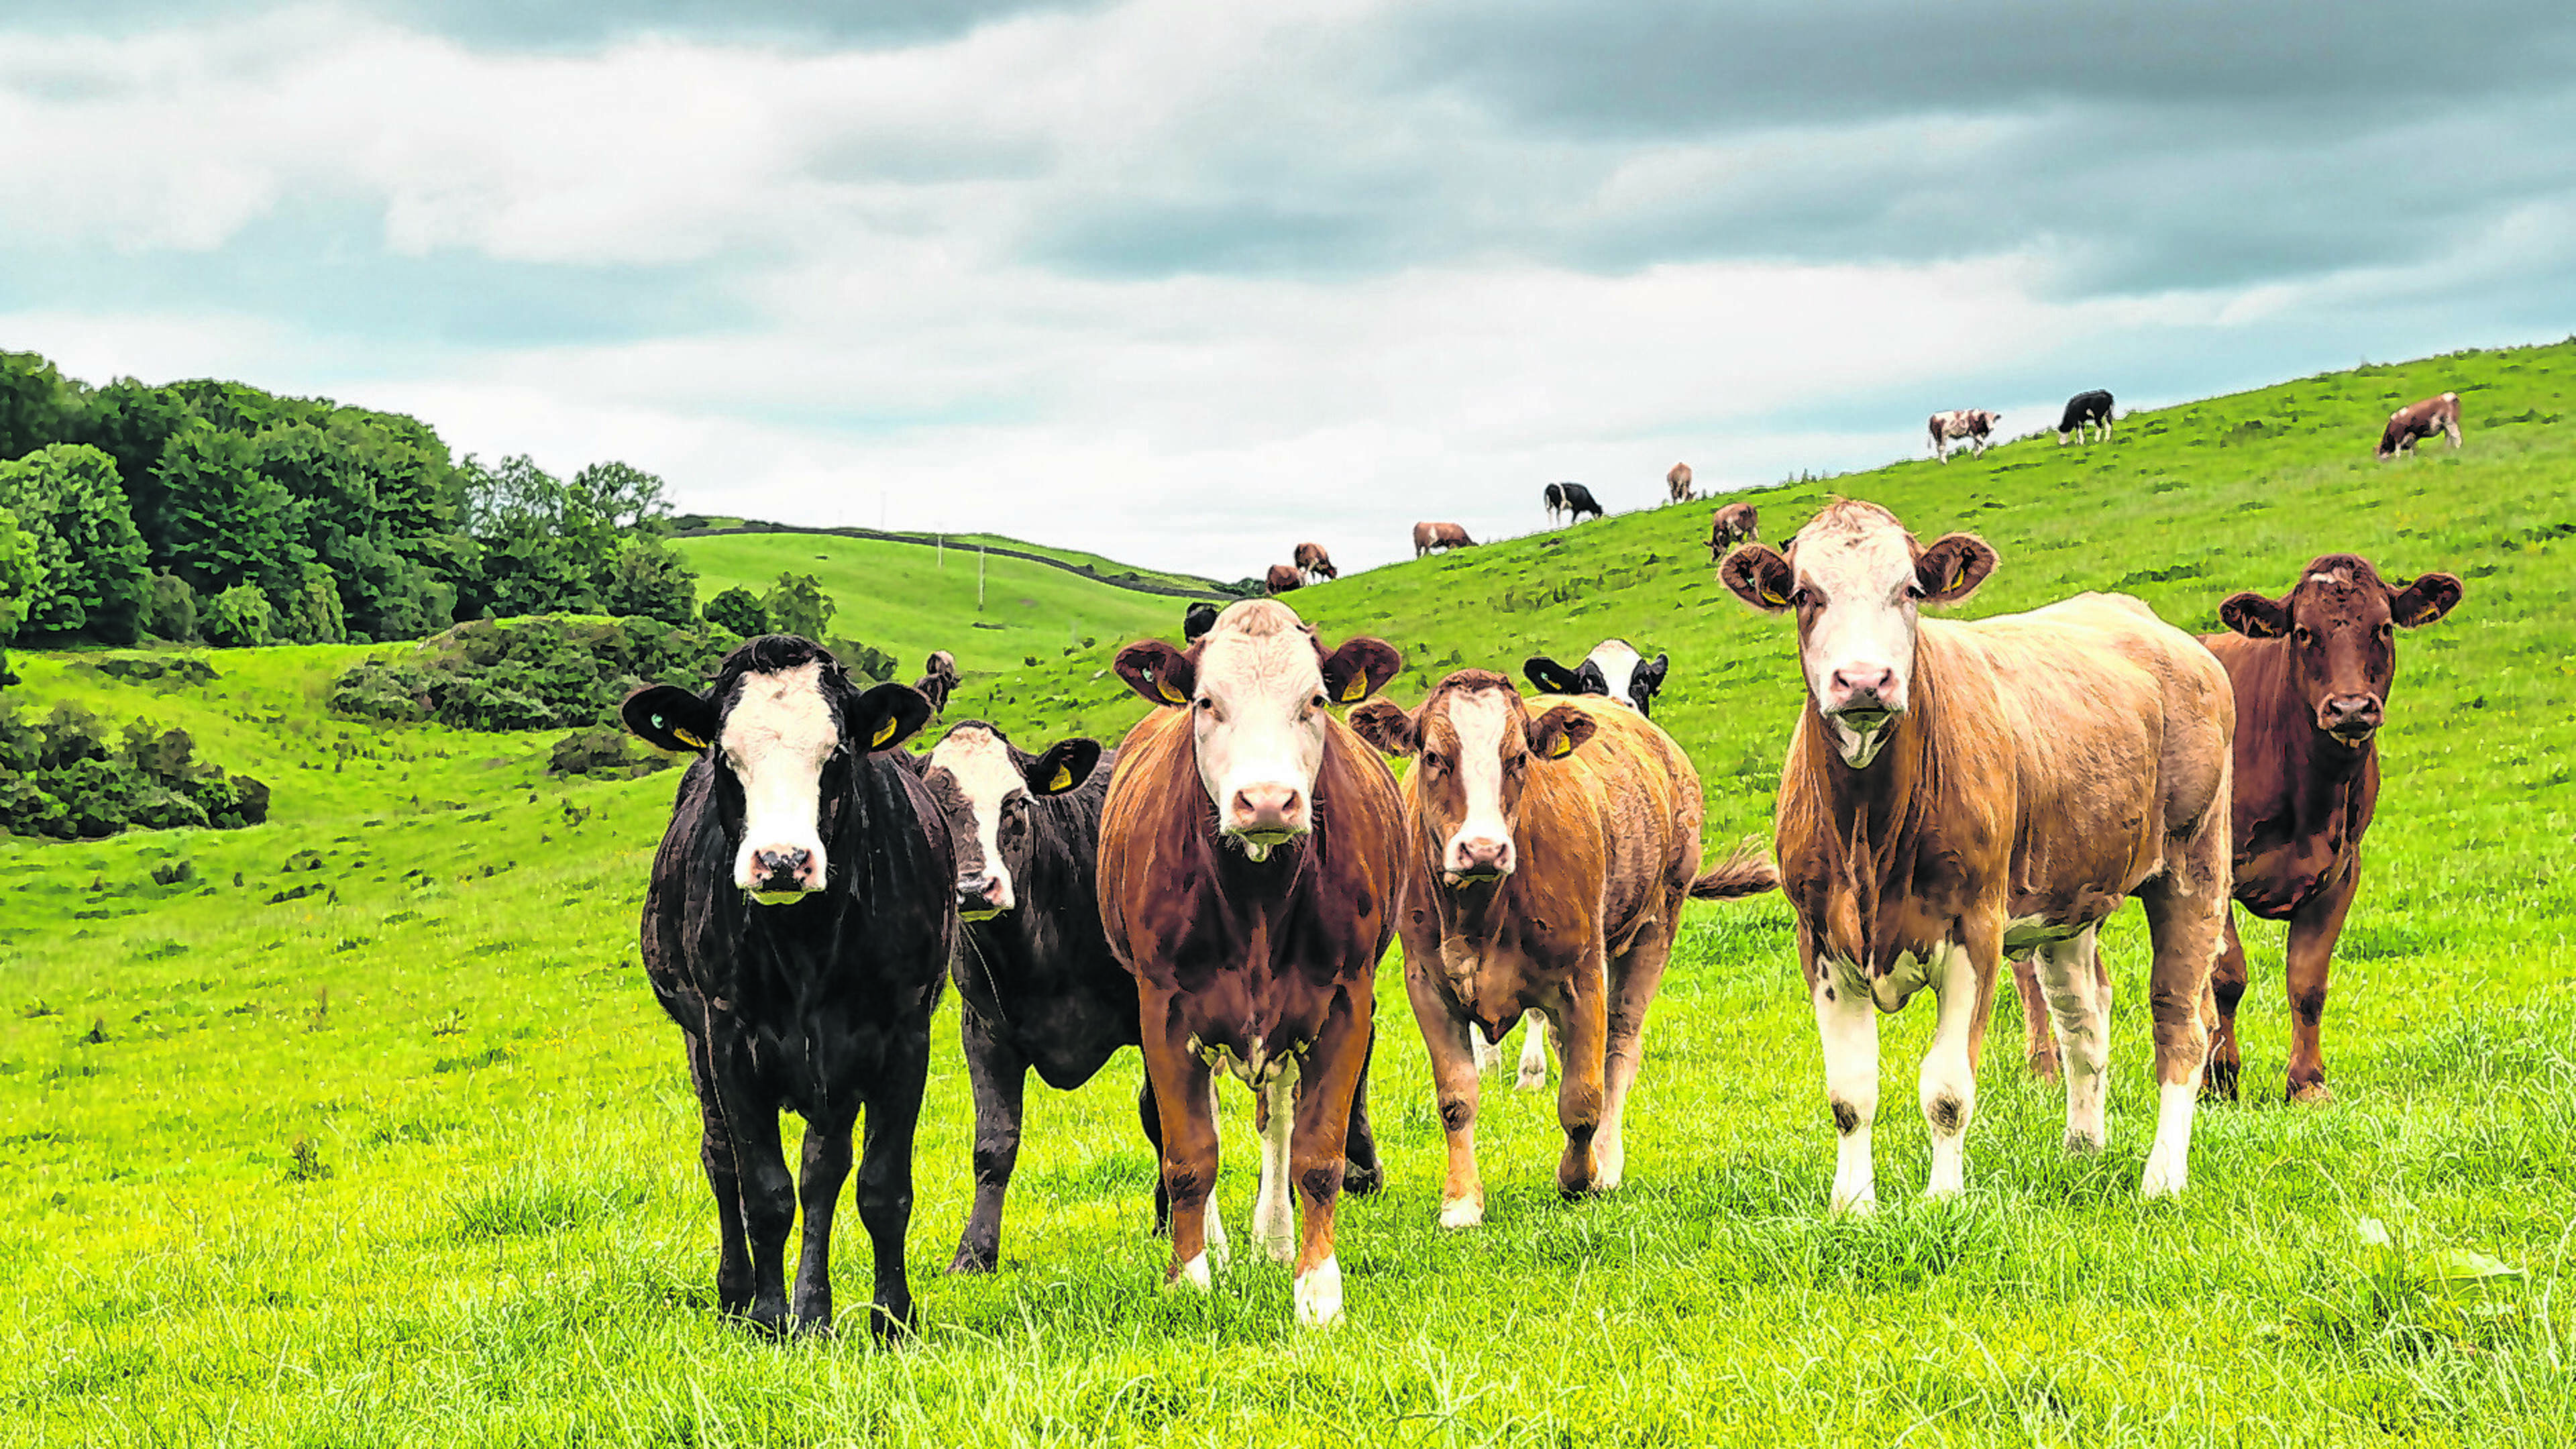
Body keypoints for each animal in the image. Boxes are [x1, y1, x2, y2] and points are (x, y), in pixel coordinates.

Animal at [621, 636, 952, 1337]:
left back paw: (816, 1309)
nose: (780, 861)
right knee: (721, 1161)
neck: (808, 942)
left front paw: (892, 1319)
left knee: (823, 1173)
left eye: (837, 755)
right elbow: (762, 1189)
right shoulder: (728, 1035)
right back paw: (737, 1295)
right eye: (726, 756)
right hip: (698, 1044)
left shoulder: (904, 1034)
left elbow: (880, 1187)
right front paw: (768, 1317)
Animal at [1098, 600, 1405, 1326]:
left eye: (1315, 700)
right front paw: (1191, 1279)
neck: (1257, 896)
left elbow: (1315, 1155)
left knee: (1280, 1124)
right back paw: (1216, 1243)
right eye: (1207, 702)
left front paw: (1316, 1290)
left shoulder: (1346, 1001)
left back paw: (1274, 1240)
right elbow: (1189, 1154)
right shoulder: (1164, 1006)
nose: (1267, 800)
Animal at [1352, 676, 1773, 1225]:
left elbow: (1583, 1096)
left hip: (1657, 924)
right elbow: (1457, 1097)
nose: (1483, 850)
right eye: (1433, 756)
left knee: (1618, 1049)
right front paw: (1462, 1201)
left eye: (1518, 758)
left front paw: (1581, 1177)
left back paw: (1607, 1163)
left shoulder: (1584, 976)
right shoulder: (1428, 983)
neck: (1480, 914)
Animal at [1719, 501, 2234, 1209]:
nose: (1863, 680)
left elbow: (1946, 1090)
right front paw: (1852, 1206)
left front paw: (1942, 1200)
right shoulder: (1819, 938)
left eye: (1911, 589)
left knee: (2181, 1018)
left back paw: (2163, 1176)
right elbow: (1850, 1095)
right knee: (2084, 1020)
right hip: (2067, 901)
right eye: (1803, 595)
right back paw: (2082, 1150)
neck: (1869, 831)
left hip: (2194, 861)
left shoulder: (1976, 929)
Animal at [2012, 555, 2463, 1104]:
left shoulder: (2342, 870)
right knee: (2027, 967)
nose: (2351, 708)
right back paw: (2044, 1070)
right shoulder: (2212, 867)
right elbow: (2225, 976)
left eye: (2382, 627)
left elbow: (2308, 983)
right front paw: (2218, 1079)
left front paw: (2308, 1084)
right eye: (2303, 632)